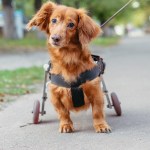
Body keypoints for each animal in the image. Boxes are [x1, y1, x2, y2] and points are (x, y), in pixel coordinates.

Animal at [27, 0, 111, 132]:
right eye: (53, 20)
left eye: (71, 24)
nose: (55, 38)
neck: (68, 58)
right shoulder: (55, 95)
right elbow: (63, 112)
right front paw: (65, 125)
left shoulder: (96, 92)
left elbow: (97, 111)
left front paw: (101, 125)